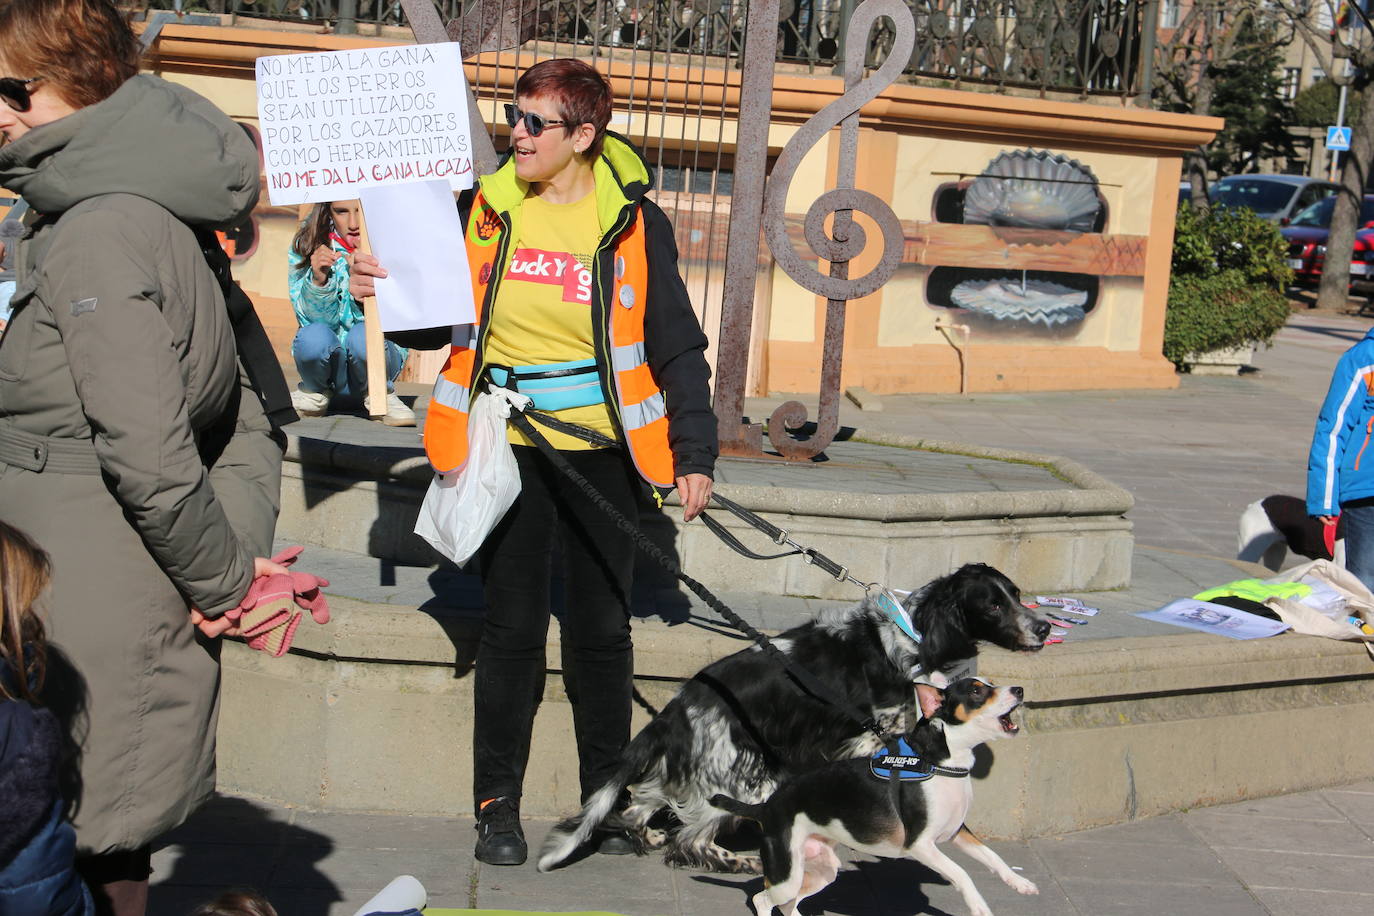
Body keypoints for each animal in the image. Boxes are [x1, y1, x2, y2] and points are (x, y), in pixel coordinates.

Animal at [530, 565, 1044, 873]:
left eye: (1017, 594)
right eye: (993, 603)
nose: (1044, 627)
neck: (913, 637)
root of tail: (680, 706)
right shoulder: (868, 739)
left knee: (638, 807)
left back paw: (651, 835)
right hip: (746, 778)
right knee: (690, 839)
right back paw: (739, 863)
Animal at [714, 678, 1033, 916]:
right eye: (977, 691)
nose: (1019, 689)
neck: (937, 764)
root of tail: (765, 809)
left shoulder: (957, 833)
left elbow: (993, 857)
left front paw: (1020, 882)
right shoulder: (921, 845)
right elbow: (962, 873)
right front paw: (979, 906)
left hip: (821, 871)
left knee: (788, 905)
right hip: (787, 876)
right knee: (763, 900)